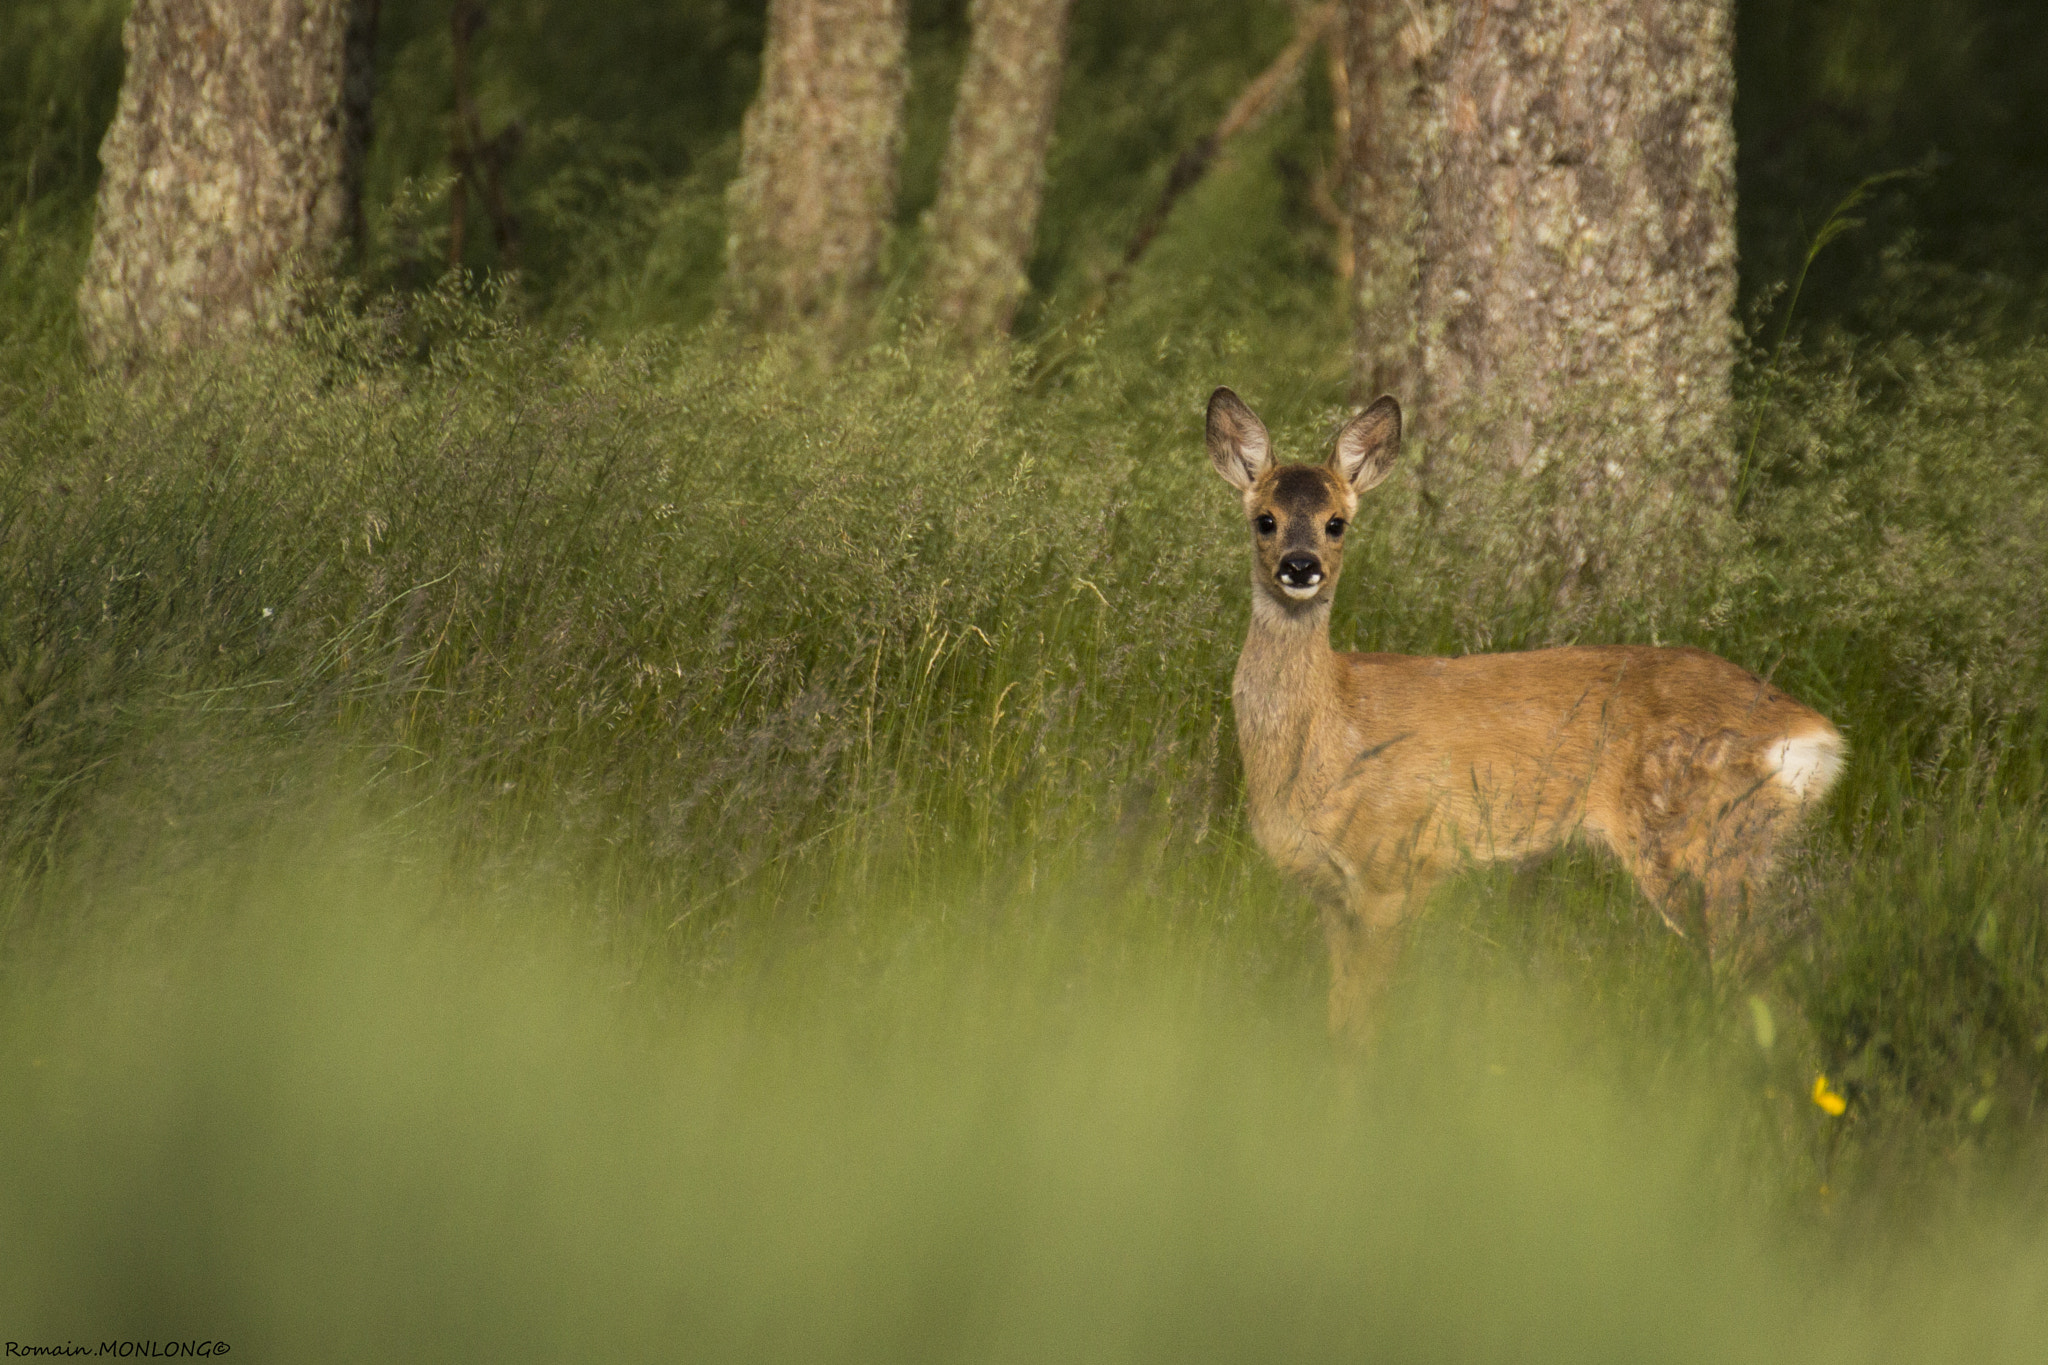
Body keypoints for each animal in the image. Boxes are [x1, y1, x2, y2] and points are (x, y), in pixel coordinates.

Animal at [1204, 384, 1851, 1035]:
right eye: (1265, 520)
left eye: (1336, 523)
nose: (1300, 566)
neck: (1327, 731)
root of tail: (1816, 736)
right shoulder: (1333, 892)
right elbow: (1340, 1016)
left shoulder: (1396, 863)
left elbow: (1368, 1018)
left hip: (1700, 842)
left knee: (1768, 983)